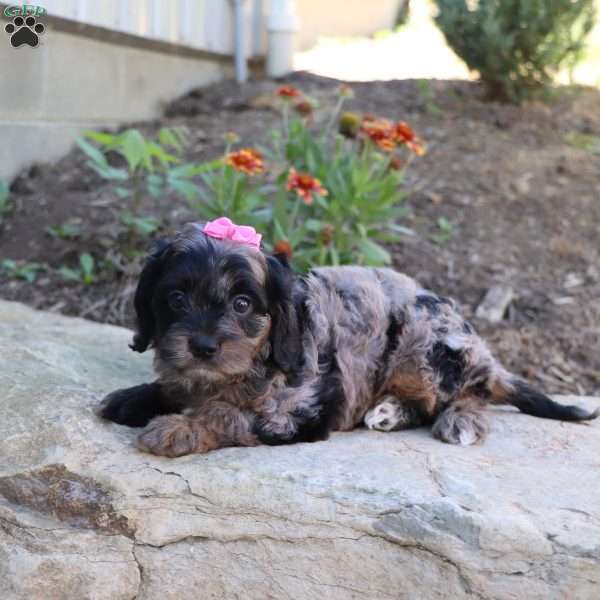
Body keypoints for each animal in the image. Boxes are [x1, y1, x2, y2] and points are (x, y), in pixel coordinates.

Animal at [96, 224, 596, 454]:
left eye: (242, 304)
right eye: (176, 298)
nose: (202, 347)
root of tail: (482, 352)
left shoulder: (299, 413)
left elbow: (228, 415)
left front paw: (178, 428)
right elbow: (176, 387)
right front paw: (135, 397)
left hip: (421, 345)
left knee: (468, 393)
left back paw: (459, 420)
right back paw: (388, 412)